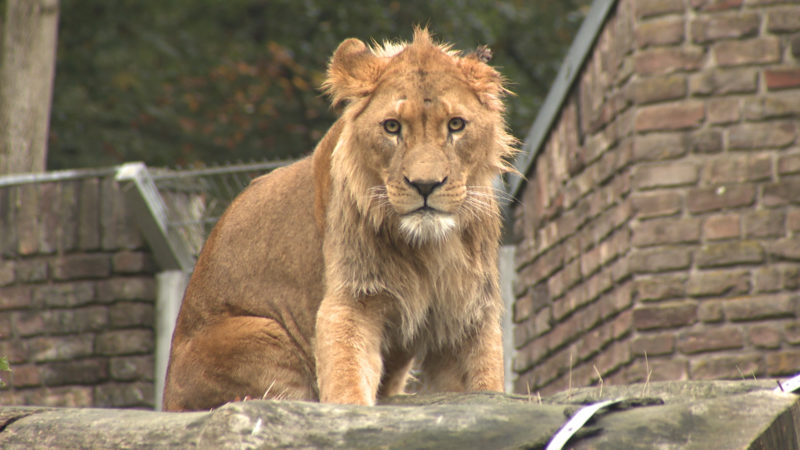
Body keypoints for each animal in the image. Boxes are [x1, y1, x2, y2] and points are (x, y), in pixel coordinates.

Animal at [161, 26, 520, 410]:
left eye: (456, 125)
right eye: (392, 127)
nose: (425, 185)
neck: (427, 248)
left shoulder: (467, 314)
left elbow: (484, 385)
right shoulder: (351, 299)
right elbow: (346, 378)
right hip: (264, 334)